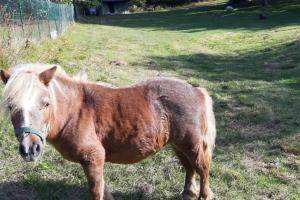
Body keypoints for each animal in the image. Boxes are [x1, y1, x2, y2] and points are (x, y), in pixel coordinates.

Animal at [0, 64, 216, 200]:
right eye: (10, 106)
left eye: (46, 103)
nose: (30, 149)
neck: (76, 111)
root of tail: (197, 90)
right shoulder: (94, 161)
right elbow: (103, 188)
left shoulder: (93, 157)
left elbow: (96, 190)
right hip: (178, 145)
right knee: (189, 168)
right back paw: (188, 193)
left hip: (192, 145)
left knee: (202, 168)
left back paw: (204, 195)